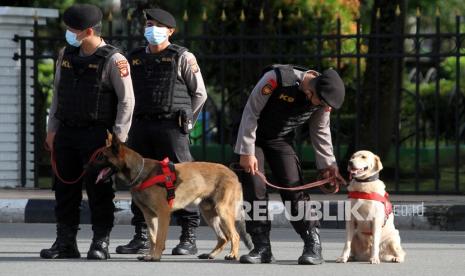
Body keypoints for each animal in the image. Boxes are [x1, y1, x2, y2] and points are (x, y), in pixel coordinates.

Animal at [92, 133, 248, 262]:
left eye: (102, 157)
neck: (141, 172)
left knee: (235, 236)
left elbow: (160, 238)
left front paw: (155, 256)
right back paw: (210, 254)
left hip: (222, 211)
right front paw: (150, 255)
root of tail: (232, 173)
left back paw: (232, 255)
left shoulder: (163, 214)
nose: (88, 166)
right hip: (210, 214)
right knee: (223, 238)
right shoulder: (149, 216)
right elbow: (152, 237)